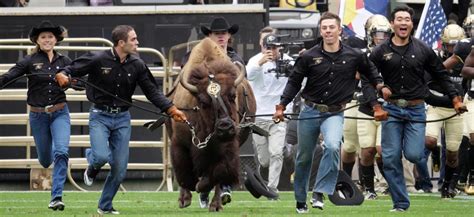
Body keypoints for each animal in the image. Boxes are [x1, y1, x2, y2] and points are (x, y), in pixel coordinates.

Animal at [167, 38, 256, 211]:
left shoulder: (226, 150)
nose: (225, 127)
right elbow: (183, 173)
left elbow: (218, 174)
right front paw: (185, 198)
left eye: (233, 96)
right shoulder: (179, 143)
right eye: (202, 101)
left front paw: (212, 200)